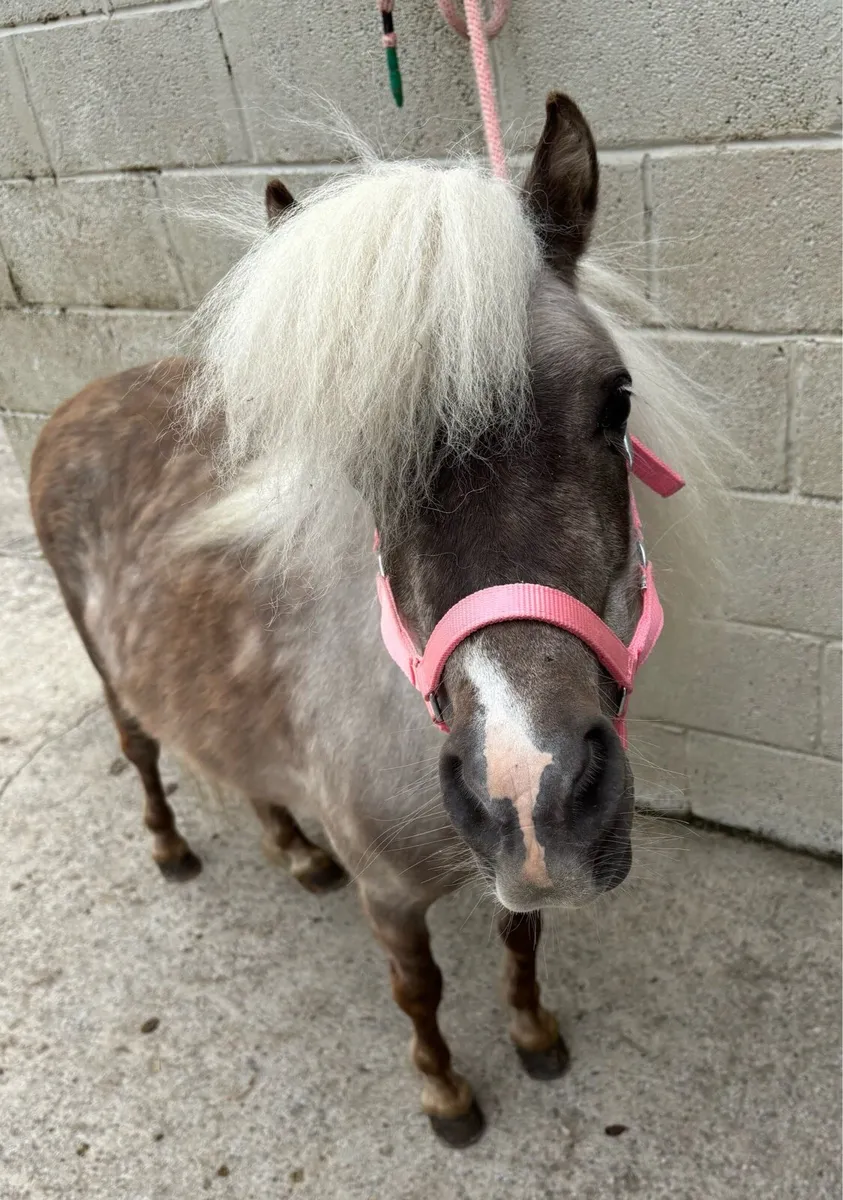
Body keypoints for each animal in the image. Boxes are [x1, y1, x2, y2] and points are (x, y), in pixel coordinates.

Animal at [29, 94, 714, 1147]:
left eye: (617, 400)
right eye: (359, 463)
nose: (530, 789)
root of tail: (76, 403)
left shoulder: (508, 869)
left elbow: (522, 940)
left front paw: (534, 1035)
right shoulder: (390, 898)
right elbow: (418, 992)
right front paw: (446, 1094)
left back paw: (293, 850)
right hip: (109, 672)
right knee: (142, 750)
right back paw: (171, 848)